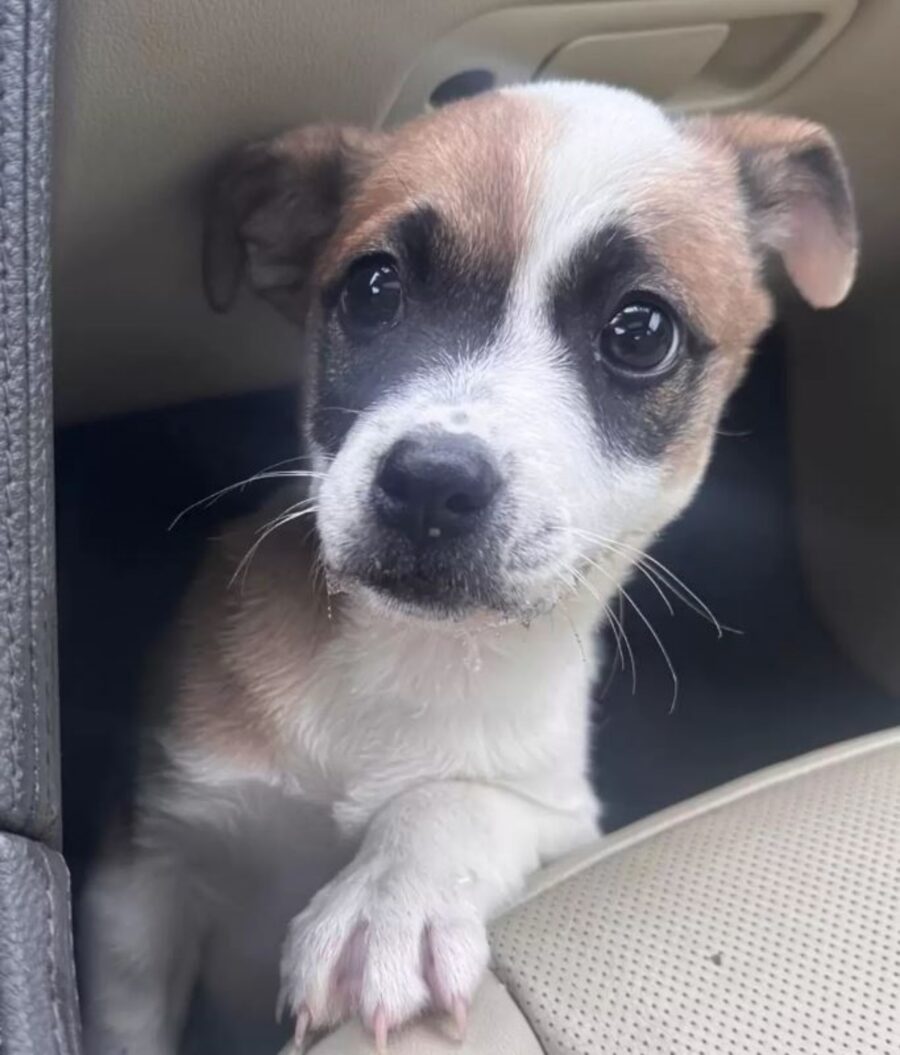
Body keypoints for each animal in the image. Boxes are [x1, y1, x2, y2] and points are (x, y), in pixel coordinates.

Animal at [79, 84, 856, 1055]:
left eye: (641, 332)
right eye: (374, 288)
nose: (431, 483)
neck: (412, 658)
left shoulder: (569, 817)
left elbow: (460, 801)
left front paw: (392, 899)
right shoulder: (143, 873)